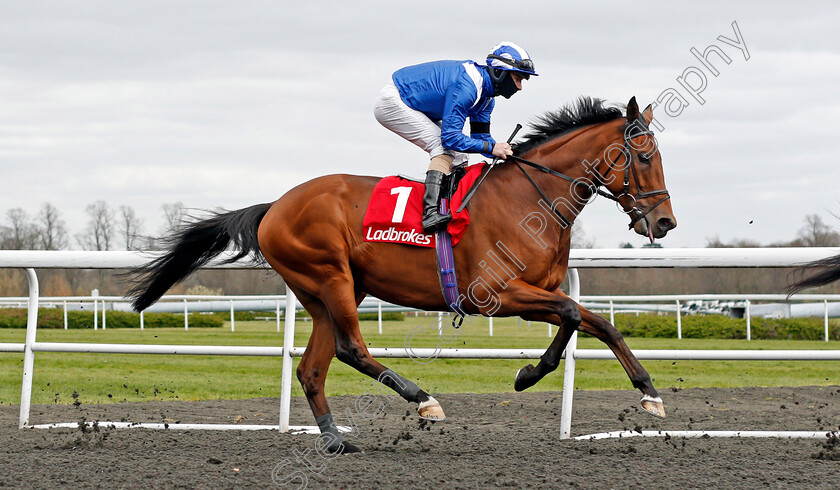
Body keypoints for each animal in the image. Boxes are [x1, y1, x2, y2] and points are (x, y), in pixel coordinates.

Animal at [131, 96, 680, 456]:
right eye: (644, 156)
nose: (664, 223)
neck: (529, 198)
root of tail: (274, 207)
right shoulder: (497, 295)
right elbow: (572, 314)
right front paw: (530, 375)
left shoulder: (536, 293)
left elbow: (594, 322)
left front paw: (648, 393)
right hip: (330, 277)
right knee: (352, 348)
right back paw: (423, 400)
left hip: (323, 292)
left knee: (312, 368)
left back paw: (335, 439)